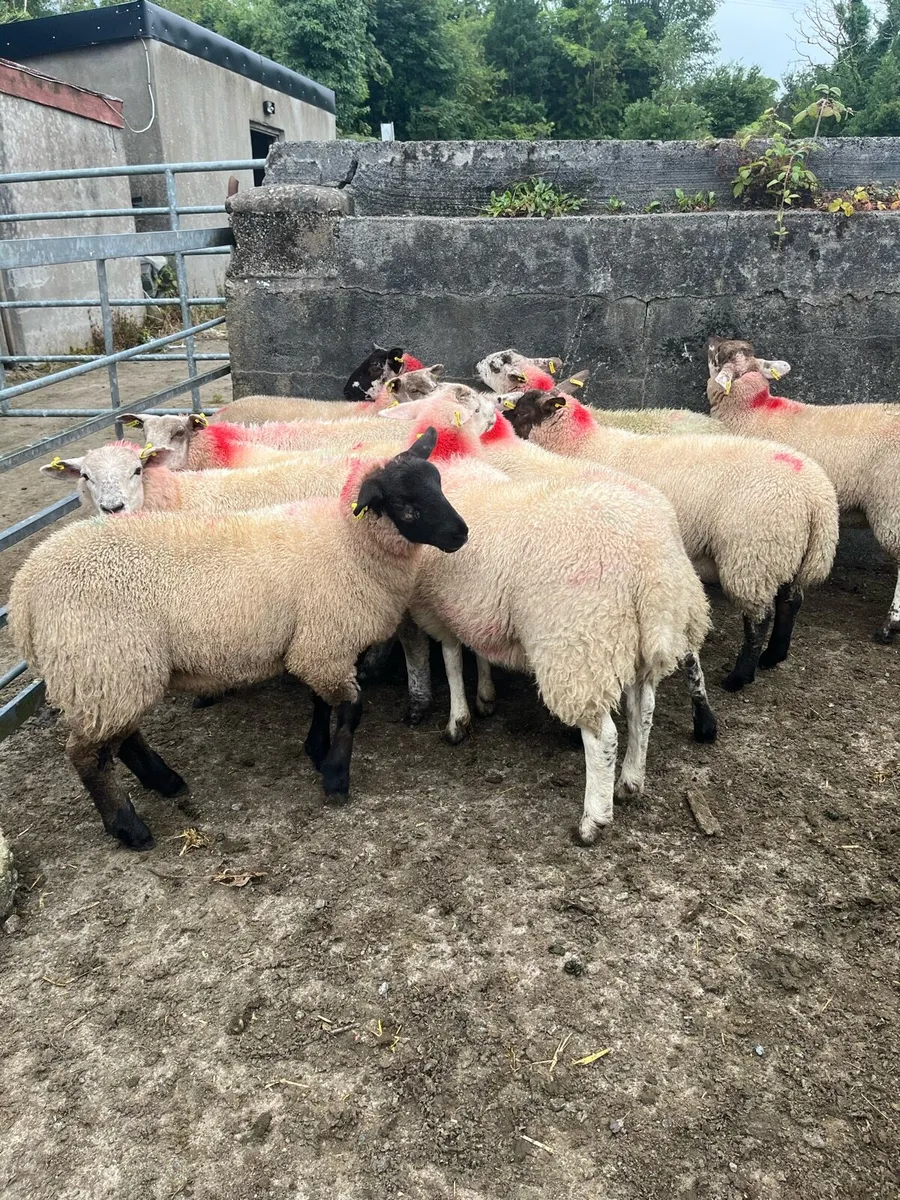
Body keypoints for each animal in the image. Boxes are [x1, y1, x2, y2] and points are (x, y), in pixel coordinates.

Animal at [9, 430, 468, 850]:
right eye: (406, 507)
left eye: (439, 484)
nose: (461, 535)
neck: (347, 540)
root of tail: (24, 591)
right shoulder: (326, 640)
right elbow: (350, 709)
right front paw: (336, 778)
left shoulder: (314, 640)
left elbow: (322, 702)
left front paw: (317, 751)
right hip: (103, 661)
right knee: (88, 756)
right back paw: (129, 826)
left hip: (112, 671)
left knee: (121, 737)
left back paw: (166, 781)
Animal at [505, 386, 840, 691]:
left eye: (520, 411)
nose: (502, 428)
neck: (582, 445)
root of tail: (818, 497)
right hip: (785, 551)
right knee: (790, 601)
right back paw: (774, 655)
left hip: (754, 553)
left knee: (760, 617)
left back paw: (740, 677)